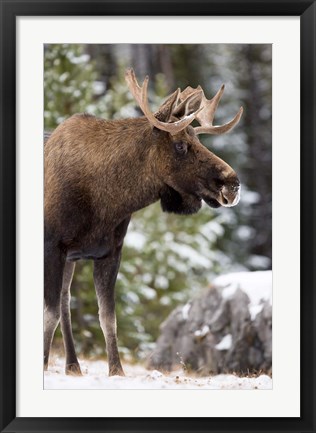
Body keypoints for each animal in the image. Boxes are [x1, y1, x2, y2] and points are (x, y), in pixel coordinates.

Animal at [43, 67, 242, 374]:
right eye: (181, 145)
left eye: (198, 140)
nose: (233, 184)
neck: (106, 202)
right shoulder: (52, 244)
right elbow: (49, 314)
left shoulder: (109, 252)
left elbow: (107, 317)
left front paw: (117, 370)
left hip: (72, 258)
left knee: (66, 300)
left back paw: (73, 365)